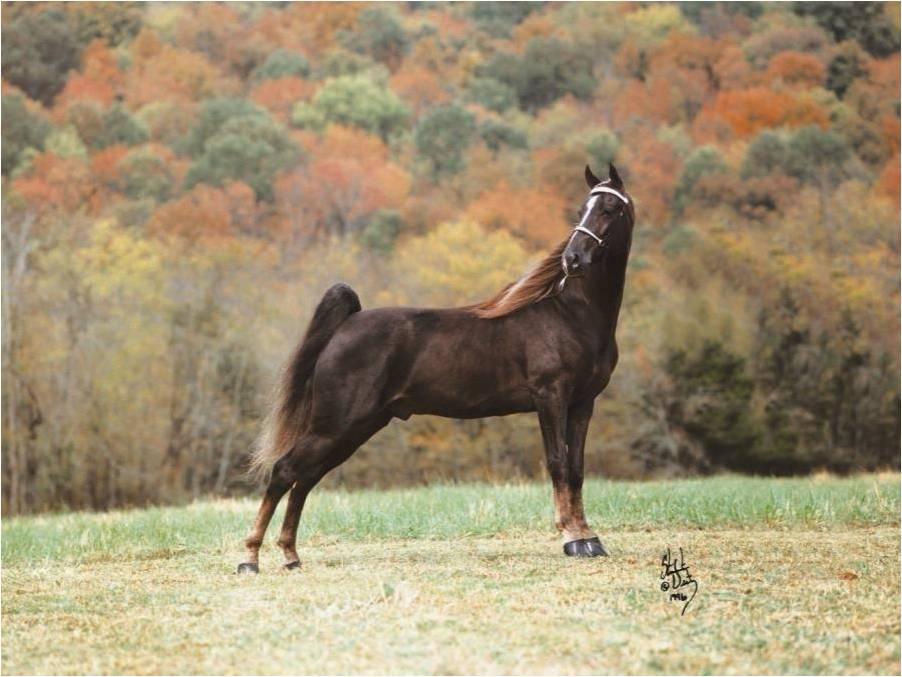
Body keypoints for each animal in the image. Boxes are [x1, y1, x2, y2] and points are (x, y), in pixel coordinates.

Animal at [237, 162, 640, 572]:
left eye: (609, 208)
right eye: (581, 210)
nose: (572, 259)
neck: (571, 315)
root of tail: (347, 323)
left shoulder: (583, 403)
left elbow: (576, 468)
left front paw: (589, 538)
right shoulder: (550, 397)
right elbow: (558, 463)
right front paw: (570, 537)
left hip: (355, 428)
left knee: (304, 479)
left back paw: (290, 555)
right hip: (335, 425)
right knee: (285, 471)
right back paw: (250, 557)